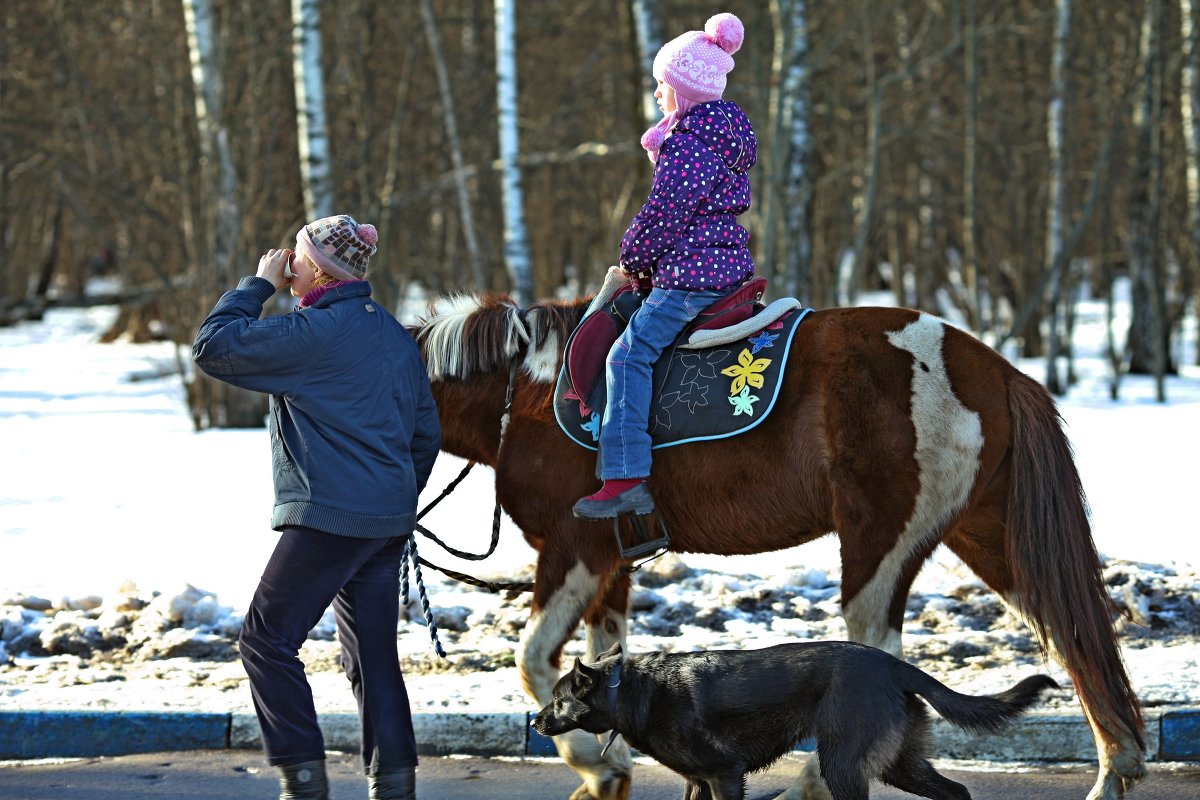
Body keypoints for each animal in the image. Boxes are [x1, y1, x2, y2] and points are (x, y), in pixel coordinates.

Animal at [530, 642, 1056, 800]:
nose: (534, 723)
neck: (627, 689)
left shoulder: (724, 776)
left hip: (842, 763)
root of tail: (893, 664)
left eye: (557, 700)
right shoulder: (698, 781)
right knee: (957, 791)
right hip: (898, 763)